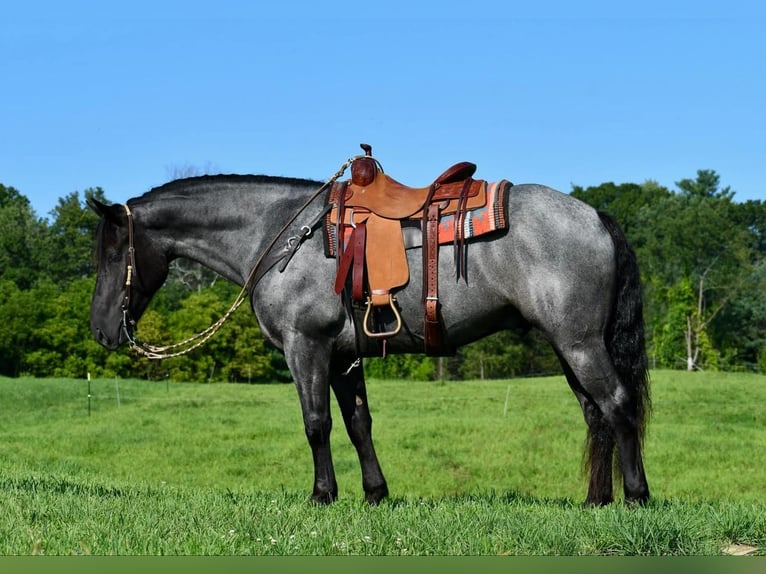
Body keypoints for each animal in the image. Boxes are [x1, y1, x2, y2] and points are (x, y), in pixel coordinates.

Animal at [90, 168, 656, 508]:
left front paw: (322, 495)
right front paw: (375, 494)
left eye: (114, 254)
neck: (281, 234)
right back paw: (596, 500)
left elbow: (316, 424)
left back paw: (635, 495)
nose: (100, 330)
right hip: (568, 347)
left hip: (580, 343)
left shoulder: (306, 347)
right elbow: (358, 425)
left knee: (617, 405)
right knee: (595, 415)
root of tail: (595, 216)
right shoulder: (344, 357)